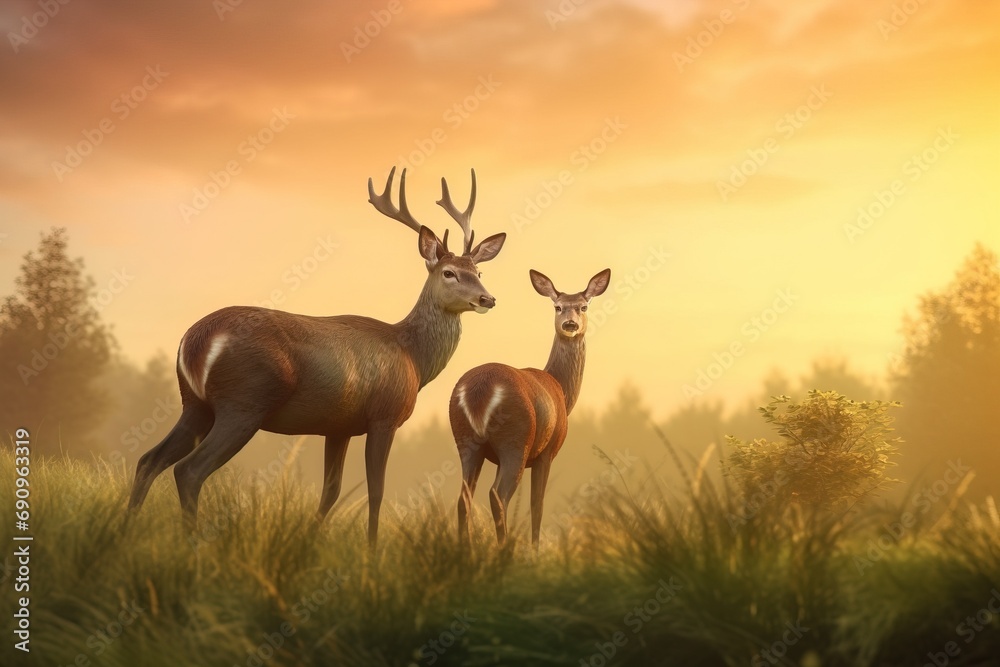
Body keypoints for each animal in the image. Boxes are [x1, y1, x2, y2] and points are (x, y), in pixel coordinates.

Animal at [127, 167, 506, 547]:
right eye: (449, 273)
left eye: (479, 272)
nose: (487, 299)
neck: (412, 356)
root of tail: (194, 340)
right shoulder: (384, 416)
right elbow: (376, 491)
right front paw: (371, 550)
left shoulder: (339, 426)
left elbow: (331, 491)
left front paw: (307, 540)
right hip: (243, 402)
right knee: (188, 470)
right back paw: (192, 544)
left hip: (195, 404)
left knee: (148, 459)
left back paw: (127, 529)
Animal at [450, 267, 611, 548]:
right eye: (558, 307)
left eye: (583, 306)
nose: (570, 324)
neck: (562, 391)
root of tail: (478, 392)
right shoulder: (547, 451)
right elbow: (538, 504)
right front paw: (535, 550)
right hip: (516, 439)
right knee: (498, 495)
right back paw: (504, 549)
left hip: (466, 440)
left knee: (463, 498)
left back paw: (466, 549)